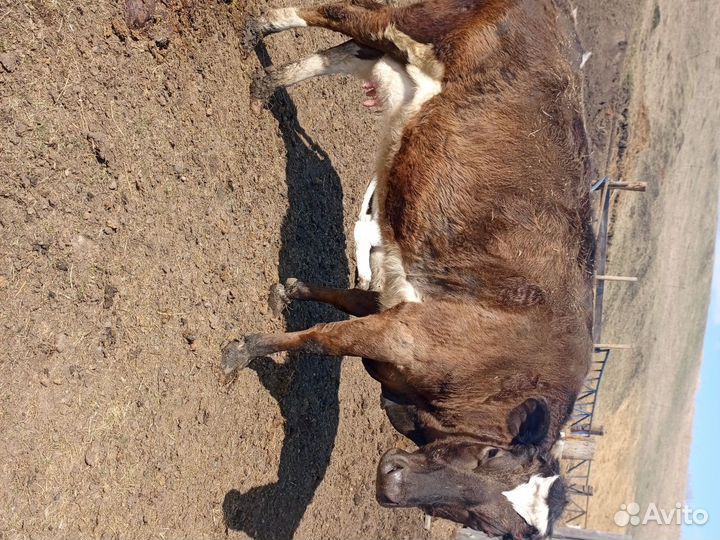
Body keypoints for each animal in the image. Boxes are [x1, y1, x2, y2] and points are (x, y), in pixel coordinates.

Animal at [224, 0, 594, 537]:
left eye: (494, 526)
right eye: (490, 455)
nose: (394, 483)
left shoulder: (398, 305)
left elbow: (344, 299)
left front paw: (289, 291)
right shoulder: (403, 335)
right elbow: (321, 338)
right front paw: (243, 350)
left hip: (399, 60)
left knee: (342, 53)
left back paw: (265, 84)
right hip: (412, 21)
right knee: (335, 15)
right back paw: (259, 29)